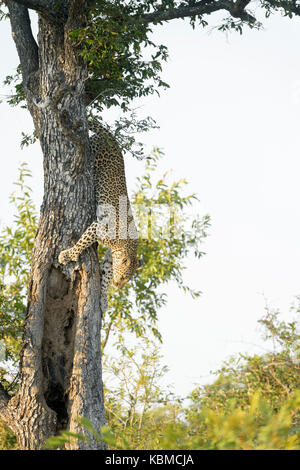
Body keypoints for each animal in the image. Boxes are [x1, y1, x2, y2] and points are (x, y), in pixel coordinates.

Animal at [59, 119, 143, 310]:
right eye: (125, 277)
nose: (118, 286)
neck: (125, 248)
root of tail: (110, 136)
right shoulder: (99, 227)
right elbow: (82, 242)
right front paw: (68, 255)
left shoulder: (111, 258)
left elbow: (106, 275)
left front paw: (104, 299)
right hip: (93, 152)